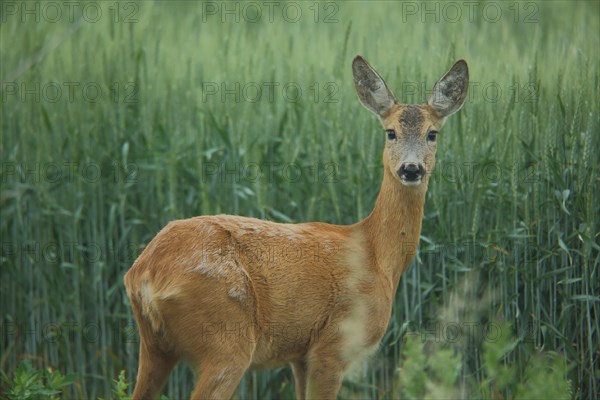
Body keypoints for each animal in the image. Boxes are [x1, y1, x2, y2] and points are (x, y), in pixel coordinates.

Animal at [123, 54, 468, 398]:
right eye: (390, 132)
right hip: (225, 336)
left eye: (433, 134)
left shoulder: (300, 355)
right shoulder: (333, 344)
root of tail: (144, 272)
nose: (411, 168)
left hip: (155, 346)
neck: (378, 257)